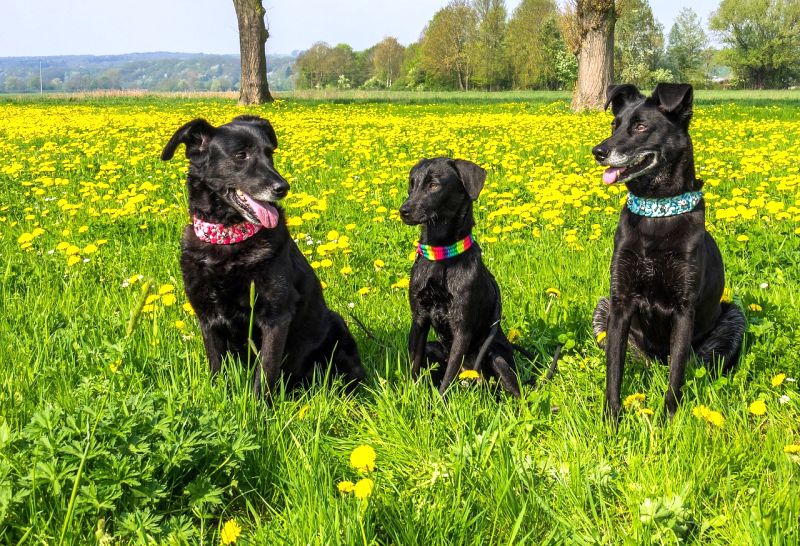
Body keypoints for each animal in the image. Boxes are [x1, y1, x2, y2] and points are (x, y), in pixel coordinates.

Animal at [396, 157, 520, 396]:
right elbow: (413, 366)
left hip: (496, 356)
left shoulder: (462, 329)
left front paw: (439, 403)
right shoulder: (419, 320)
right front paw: (409, 396)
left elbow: (448, 377)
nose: (403, 210)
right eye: (412, 184)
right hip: (434, 348)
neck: (442, 255)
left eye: (434, 185)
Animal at [592, 83, 748, 422]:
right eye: (614, 124)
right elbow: (614, 371)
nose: (598, 151)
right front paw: (611, 421)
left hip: (734, 317)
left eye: (640, 126)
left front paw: (667, 422)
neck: (656, 211)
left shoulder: (684, 309)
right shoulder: (620, 303)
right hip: (602, 310)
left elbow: (676, 375)